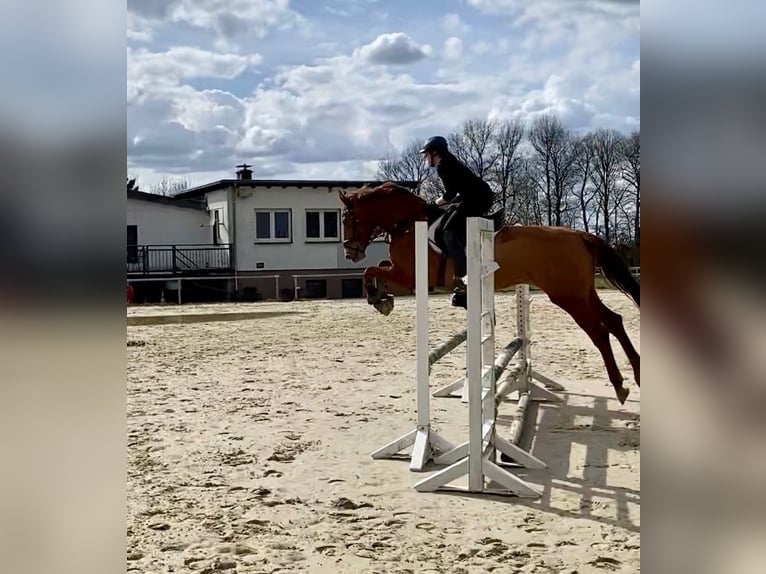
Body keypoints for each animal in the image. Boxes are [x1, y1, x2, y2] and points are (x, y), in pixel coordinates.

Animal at [338, 181, 640, 405]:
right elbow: (377, 267)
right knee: (614, 321)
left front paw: (379, 300)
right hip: (582, 292)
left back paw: (620, 387)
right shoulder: (403, 273)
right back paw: (637, 373)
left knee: (599, 332)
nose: (350, 253)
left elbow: (371, 270)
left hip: (568, 296)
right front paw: (382, 298)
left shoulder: (410, 276)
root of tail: (580, 235)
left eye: (346, 218)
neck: (408, 222)